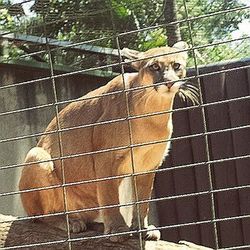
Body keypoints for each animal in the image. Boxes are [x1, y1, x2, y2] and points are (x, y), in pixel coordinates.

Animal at [19, 41, 197, 242]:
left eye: (177, 65)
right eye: (154, 67)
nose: (169, 82)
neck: (154, 112)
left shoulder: (147, 166)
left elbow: (143, 199)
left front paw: (143, 228)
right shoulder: (106, 158)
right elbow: (110, 196)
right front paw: (117, 229)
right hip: (37, 156)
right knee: (40, 216)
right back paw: (71, 222)